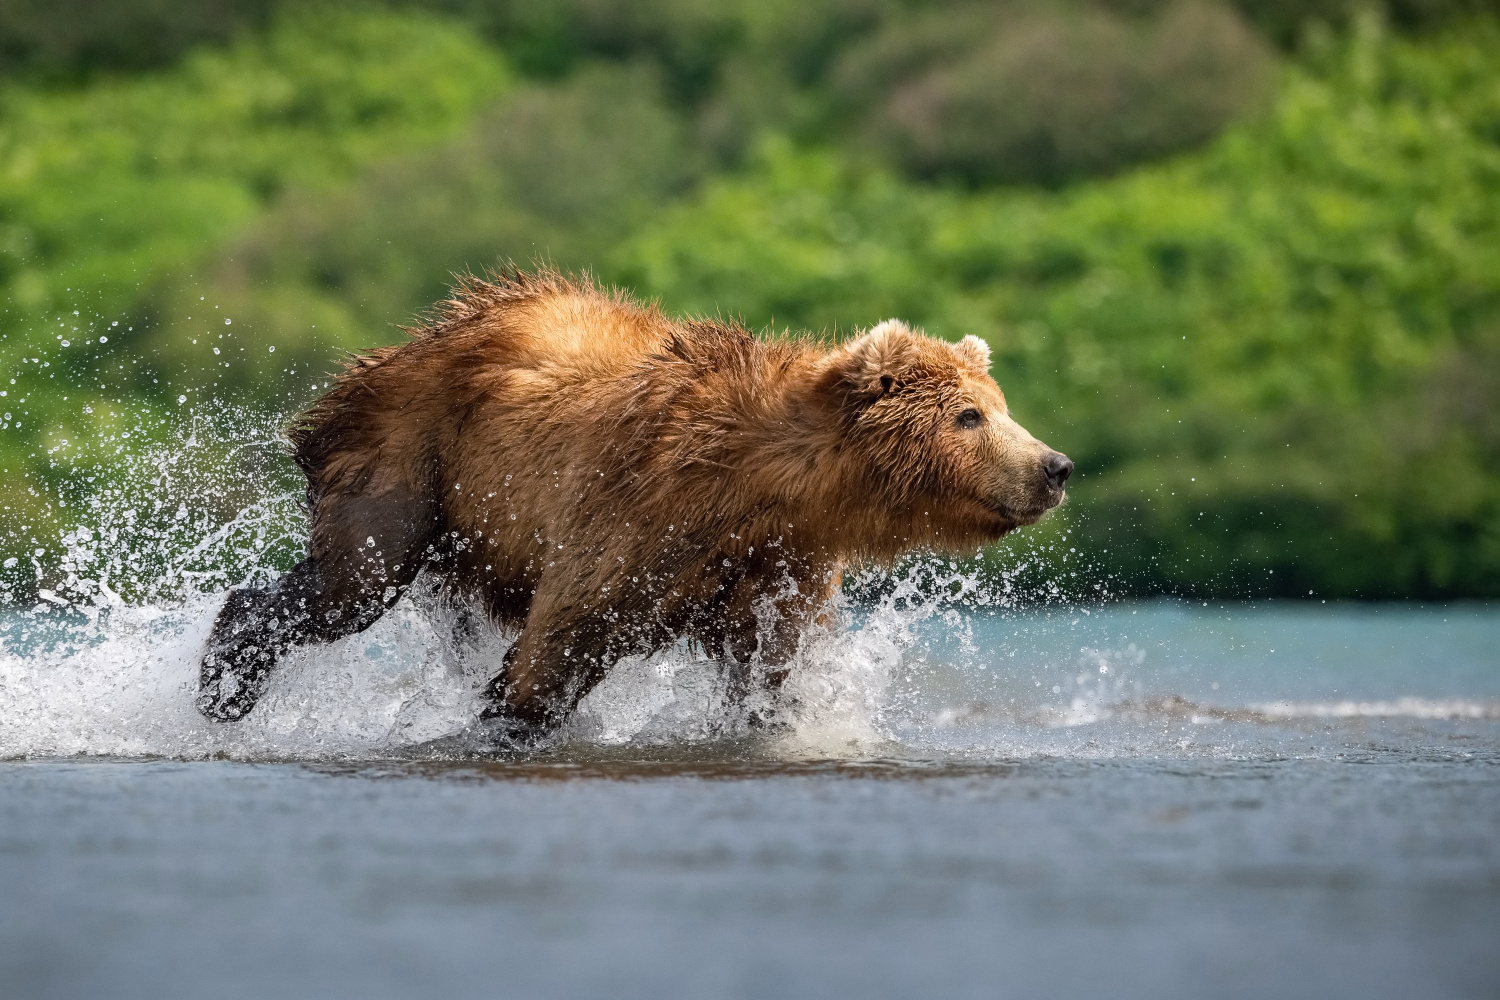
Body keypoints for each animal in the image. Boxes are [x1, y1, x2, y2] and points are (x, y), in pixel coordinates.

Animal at [199, 265, 1068, 734]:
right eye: (970, 415)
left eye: (999, 405)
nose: (1055, 465)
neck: (771, 484)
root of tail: (410, 339)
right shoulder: (641, 516)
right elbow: (560, 646)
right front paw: (509, 715)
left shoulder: (776, 563)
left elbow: (771, 670)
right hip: (412, 451)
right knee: (354, 580)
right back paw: (223, 683)